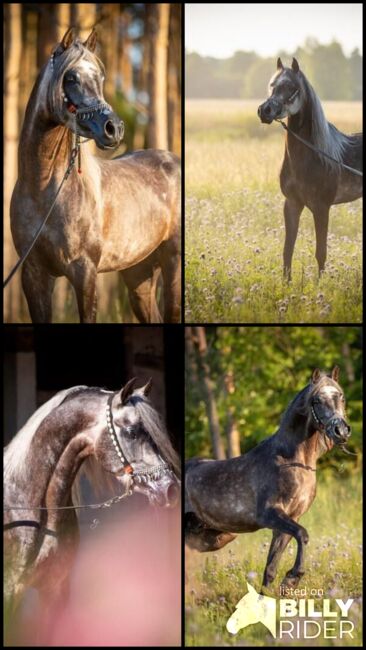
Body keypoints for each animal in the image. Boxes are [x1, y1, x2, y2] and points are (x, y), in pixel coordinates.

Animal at [10, 27, 182, 322]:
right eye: (70, 77)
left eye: (100, 77)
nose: (114, 128)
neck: (44, 190)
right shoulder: (33, 275)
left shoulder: (85, 272)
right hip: (138, 274)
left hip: (173, 263)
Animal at [186, 368, 352, 588]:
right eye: (316, 400)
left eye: (341, 397)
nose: (340, 431)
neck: (291, 460)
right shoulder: (270, 514)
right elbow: (303, 534)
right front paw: (292, 578)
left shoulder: (290, 520)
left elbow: (271, 568)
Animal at [258, 57, 362, 276]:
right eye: (272, 85)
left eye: (291, 87)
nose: (264, 111)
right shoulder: (292, 203)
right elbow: (287, 251)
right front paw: (286, 283)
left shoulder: (321, 208)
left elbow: (320, 253)